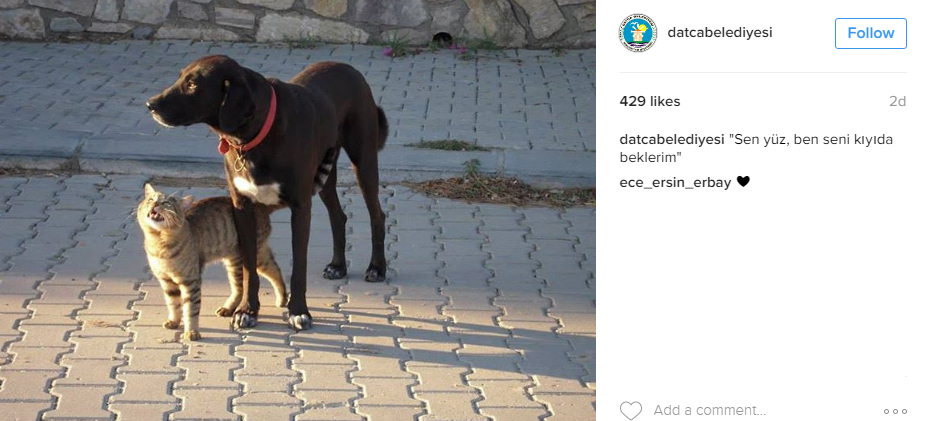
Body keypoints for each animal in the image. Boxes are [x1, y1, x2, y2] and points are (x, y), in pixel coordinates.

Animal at [137, 183, 287, 340]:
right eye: (151, 199)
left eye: (166, 203)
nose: (155, 204)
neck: (159, 244)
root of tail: (259, 205)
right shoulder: (167, 282)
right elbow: (173, 305)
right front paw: (173, 321)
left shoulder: (191, 281)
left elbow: (190, 309)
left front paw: (191, 332)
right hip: (252, 257)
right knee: (274, 269)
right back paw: (281, 298)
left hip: (243, 261)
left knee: (241, 287)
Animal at [146, 55, 388, 330]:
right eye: (180, 77)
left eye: (193, 84)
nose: (150, 105)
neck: (254, 135)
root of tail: (347, 67)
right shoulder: (242, 208)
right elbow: (249, 268)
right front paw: (247, 310)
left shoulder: (300, 207)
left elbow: (299, 268)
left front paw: (298, 312)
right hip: (325, 173)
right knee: (338, 216)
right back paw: (338, 266)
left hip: (364, 160)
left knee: (377, 215)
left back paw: (377, 268)